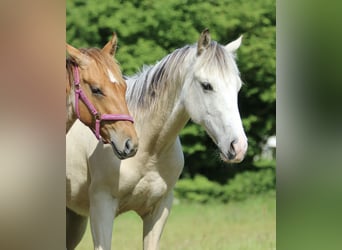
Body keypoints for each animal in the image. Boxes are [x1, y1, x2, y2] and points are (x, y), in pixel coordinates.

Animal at [66, 28, 248, 248]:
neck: (149, 149)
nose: (238, 146)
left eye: (238, 87)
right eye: (206, 85)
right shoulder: (102, 207)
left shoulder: (159, 209)